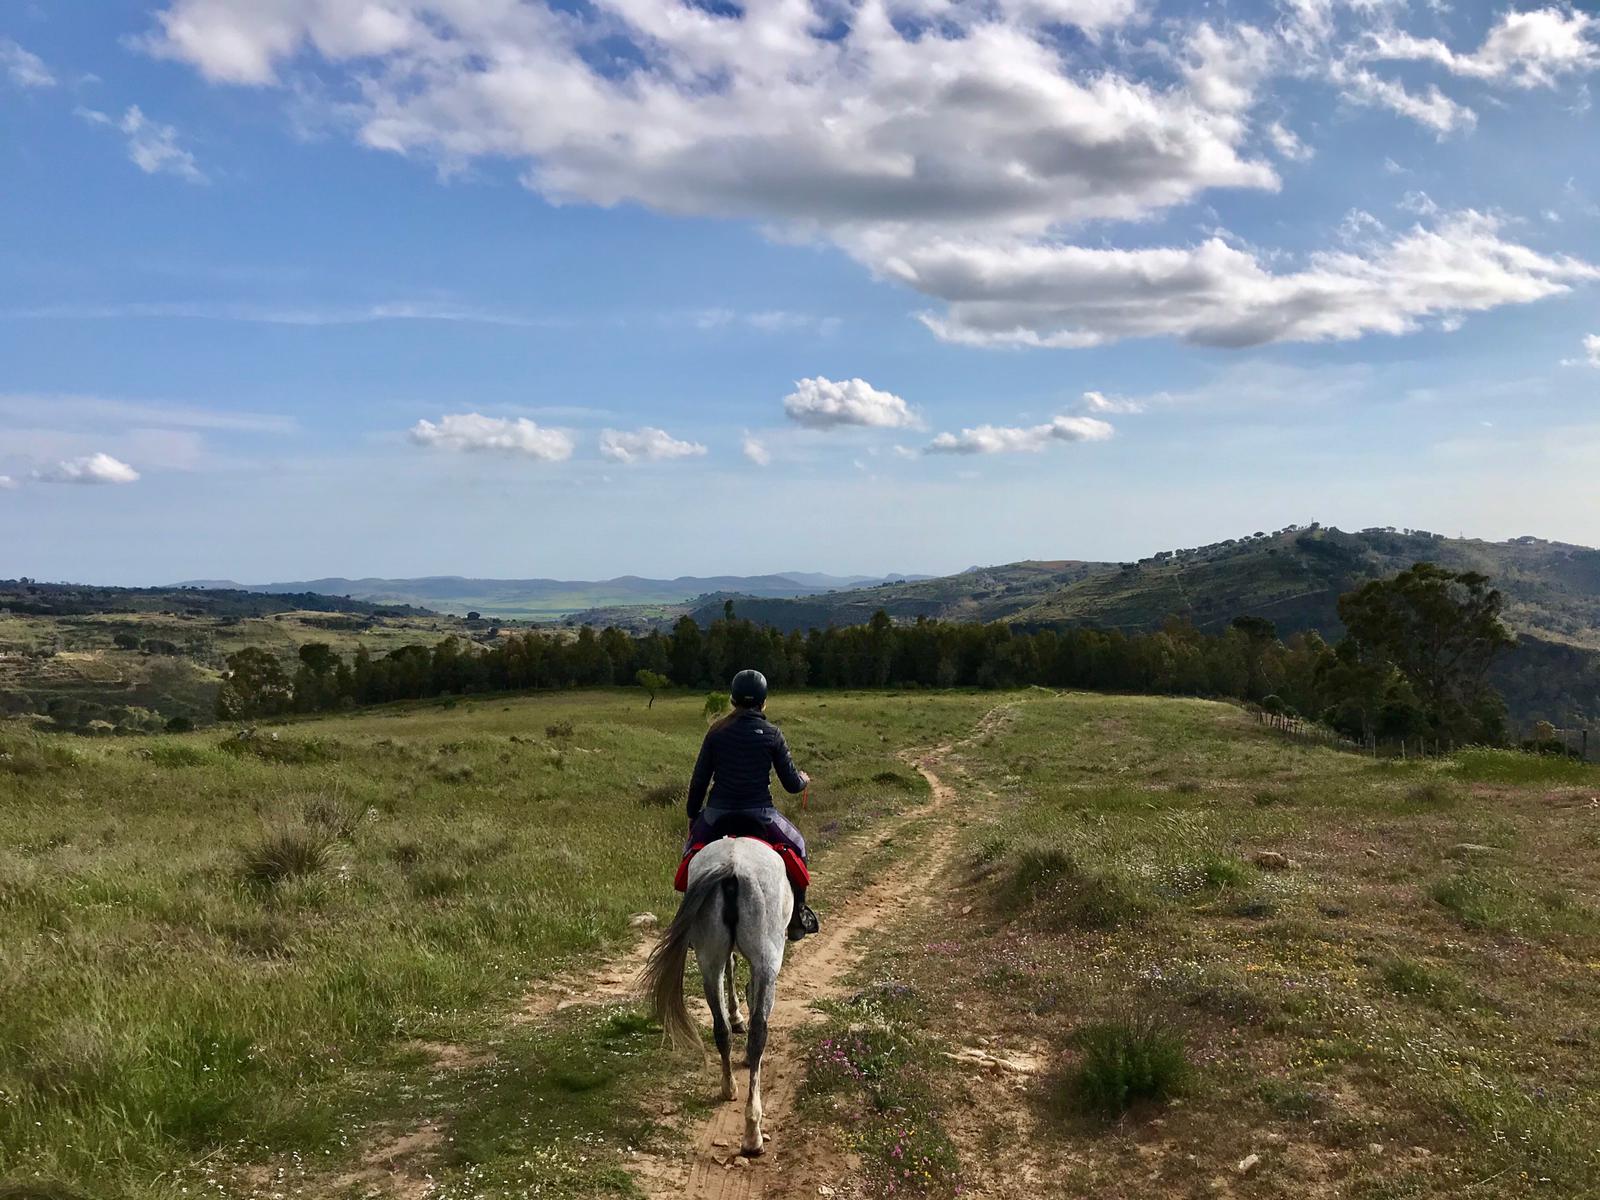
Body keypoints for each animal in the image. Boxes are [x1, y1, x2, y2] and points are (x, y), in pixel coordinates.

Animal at [640, 836, 793, 1157]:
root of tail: (731, 866)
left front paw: (735, 1016)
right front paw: (741, 1020)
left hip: (709, 958)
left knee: (720, 1029)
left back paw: (728, 1087)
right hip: (768, 958)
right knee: (759, 1034)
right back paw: (752, 1133)